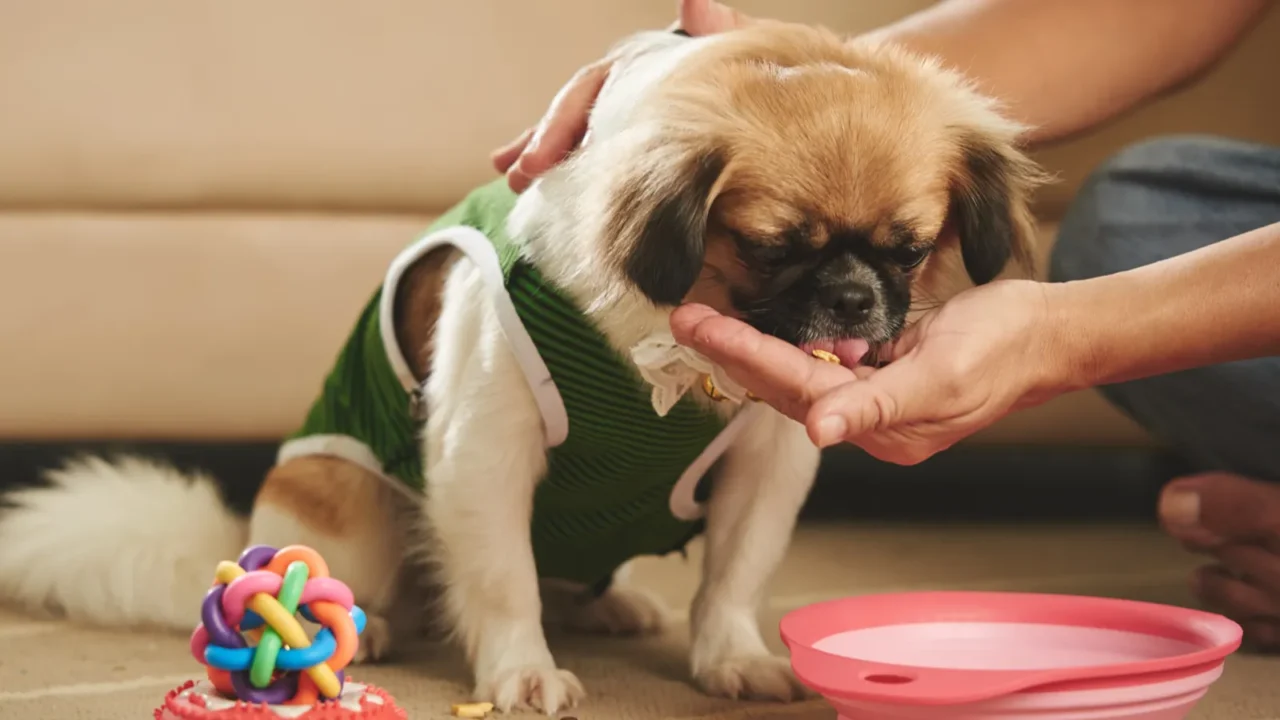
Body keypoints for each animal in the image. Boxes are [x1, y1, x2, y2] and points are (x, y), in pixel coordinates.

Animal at [0, 19, 1039, 712]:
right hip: (337, 494)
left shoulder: (767, 466)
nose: (857, 300)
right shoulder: (483, 456)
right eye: (773, 248)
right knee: (347, 576)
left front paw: (730, 658)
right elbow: (500, 581)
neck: (665, 364)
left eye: (909, 251)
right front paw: (522, 674)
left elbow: (735, 578)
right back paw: (373, 624)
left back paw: (606, 607)